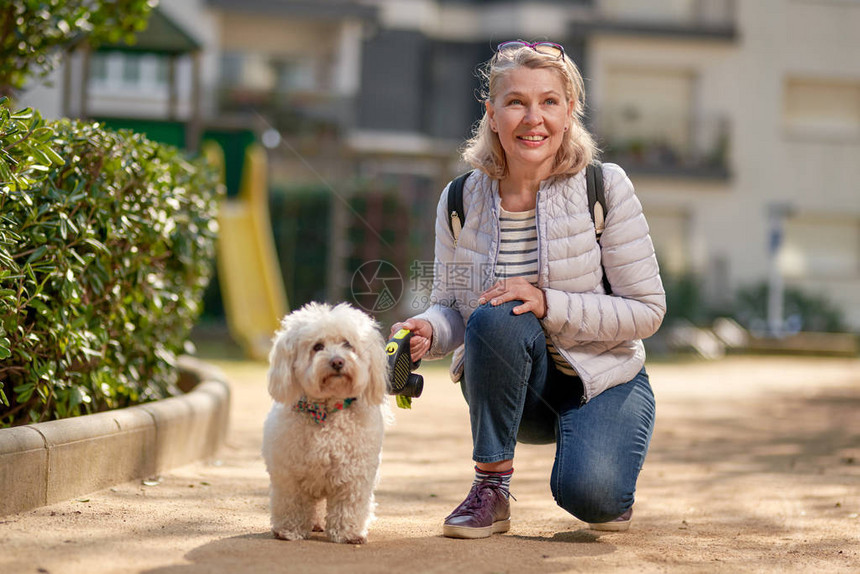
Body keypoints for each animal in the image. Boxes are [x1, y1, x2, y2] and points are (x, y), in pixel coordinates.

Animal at [258, 304, 386, 548]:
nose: (337, 361)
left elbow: (349, 505)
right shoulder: (290, 474)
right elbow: (292, 503)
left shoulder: (354, 474)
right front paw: (290, 530)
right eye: (317, 346)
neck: (326, 410)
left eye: (347, 344)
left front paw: (348, 533)